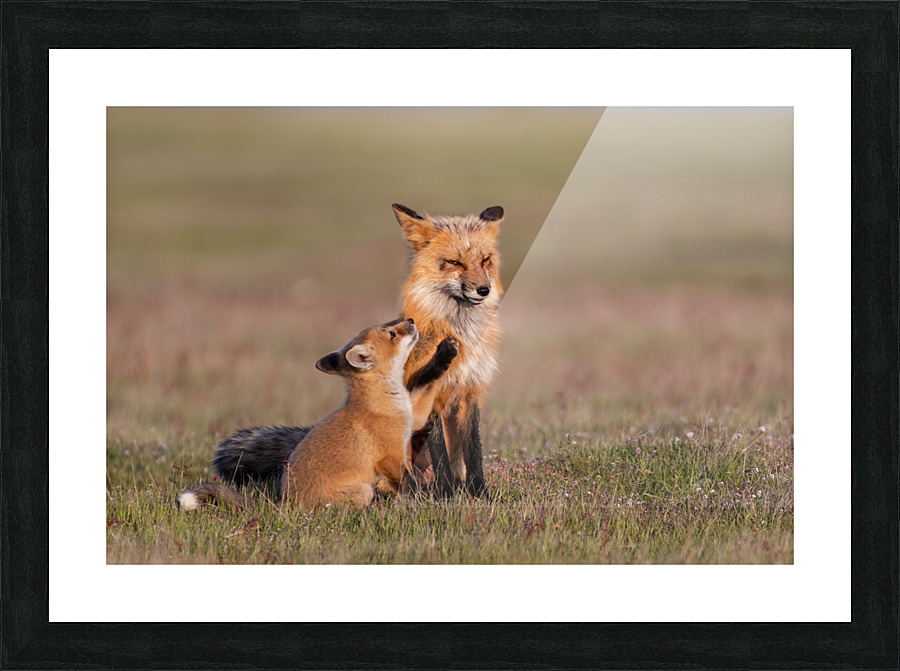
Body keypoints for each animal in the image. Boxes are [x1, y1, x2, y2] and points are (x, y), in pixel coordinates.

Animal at [177, 318, 459, 510]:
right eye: (391, 333)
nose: (410, 320)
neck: (383, 401)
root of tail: (285, 505)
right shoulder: (390, 455)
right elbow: (410, 481)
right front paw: (424, 499)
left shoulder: (413, 417)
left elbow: (427, 383)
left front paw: (445, 354)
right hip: (360, 490)